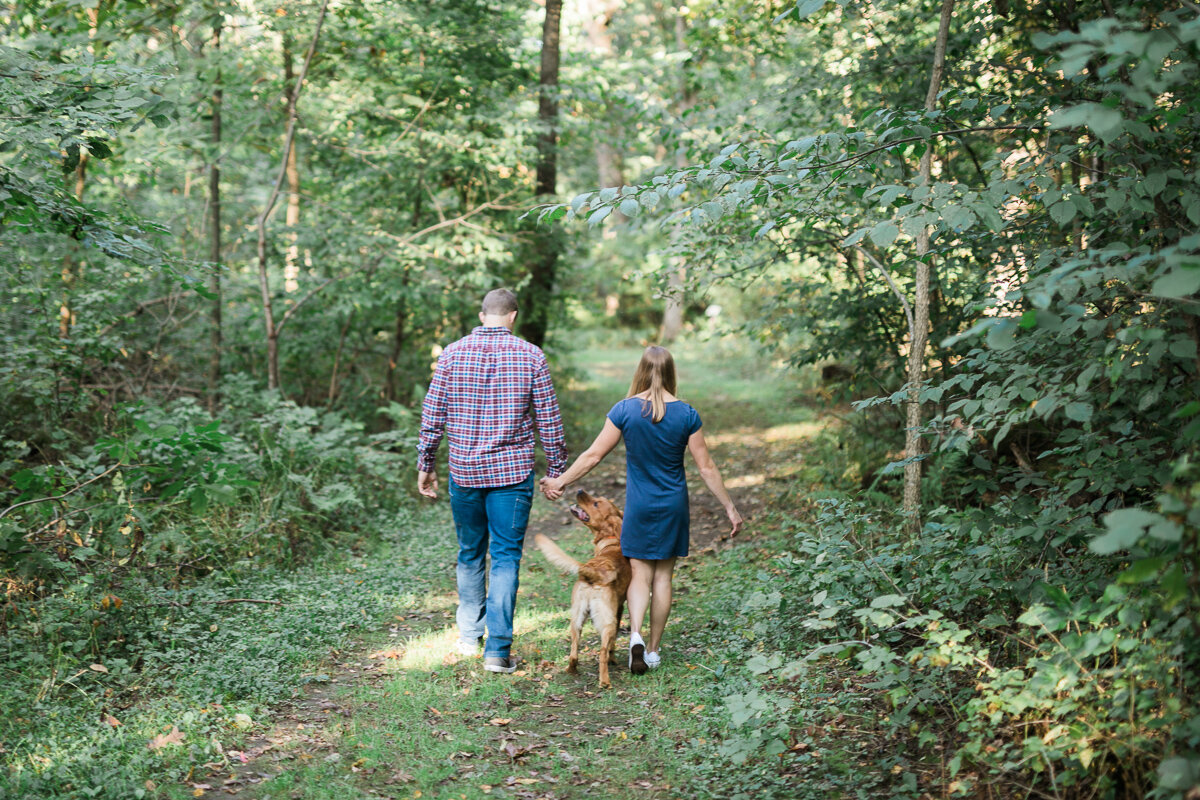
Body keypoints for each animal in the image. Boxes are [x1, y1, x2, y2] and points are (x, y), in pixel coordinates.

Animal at [532, 489, 628, 690]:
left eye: (596, 503)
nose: (579, 490)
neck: (612, 541)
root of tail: (592, 571)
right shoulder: (620, 609)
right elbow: (613, 644)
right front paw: (614, 659)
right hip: (607, 622)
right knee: (602, 652)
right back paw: (605, 681)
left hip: (576, 619)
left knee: (574, 652)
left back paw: (571, 670)